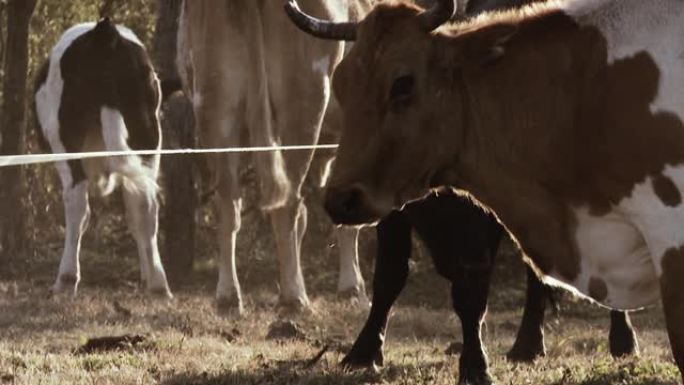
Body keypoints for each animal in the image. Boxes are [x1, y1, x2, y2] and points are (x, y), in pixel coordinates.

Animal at [33, 18, 174, 296]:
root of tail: (105, 33)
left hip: (65, 138)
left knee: (77, 202)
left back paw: (66, 280)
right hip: (147, 135)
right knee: (145, 204)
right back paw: (158, 284)